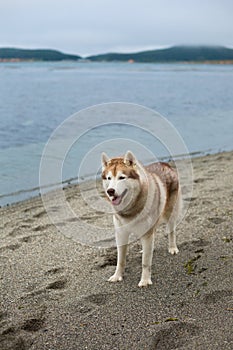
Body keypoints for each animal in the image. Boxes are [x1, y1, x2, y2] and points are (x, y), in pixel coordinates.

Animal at [101, 150, 182, 288]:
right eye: (109, 178)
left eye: (122, 177)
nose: (110, 191)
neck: (130, 210)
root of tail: (165, 164)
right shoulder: (121, 234)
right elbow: (120, 260)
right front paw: (117, 276)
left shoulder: (147, 234)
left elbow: (145, 262)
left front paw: (145, 280)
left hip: (170, 214)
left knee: (171, 232)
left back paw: (172, 248)